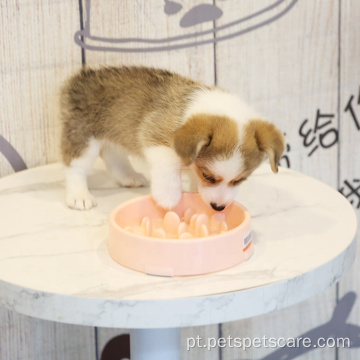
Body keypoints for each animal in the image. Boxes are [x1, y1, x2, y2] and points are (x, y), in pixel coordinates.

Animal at [59, 66, 284, 210]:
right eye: (209, 177)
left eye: (239, 180)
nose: (218, 207)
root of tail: (78, 78)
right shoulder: (155, 138)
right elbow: (169, 168)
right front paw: (168, 197)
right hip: (84, 138)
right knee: (75, 167)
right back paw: (79, 196)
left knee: (113, 156)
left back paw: (128, 176)